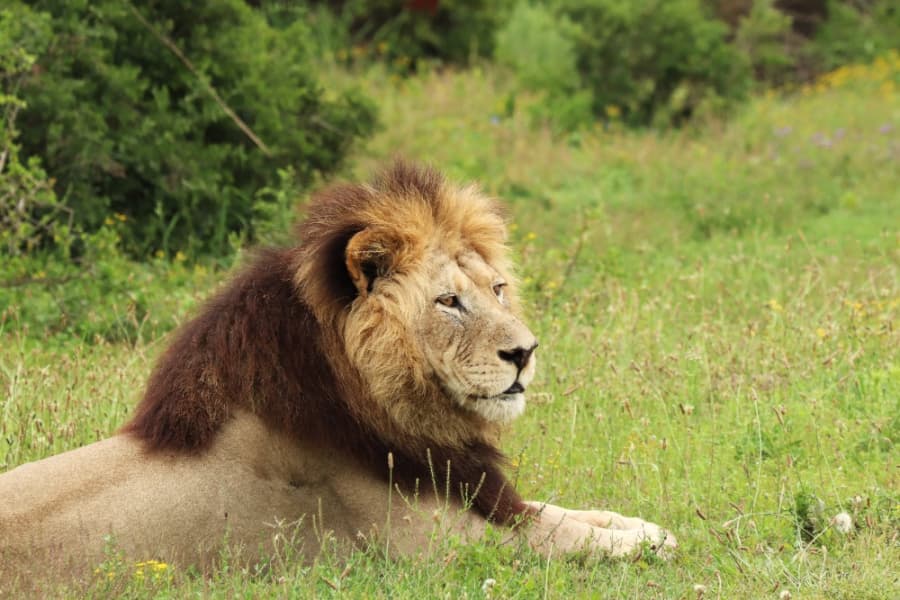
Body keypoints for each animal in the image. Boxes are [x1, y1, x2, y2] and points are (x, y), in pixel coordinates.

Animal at [0, 162, 675, 585]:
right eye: (448, 302)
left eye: (498, 289)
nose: (526, 351)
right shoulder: (442, 546)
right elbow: (565, 538)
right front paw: (643, 544)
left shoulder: (479, 495)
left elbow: (566, 511)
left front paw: (642, 526)